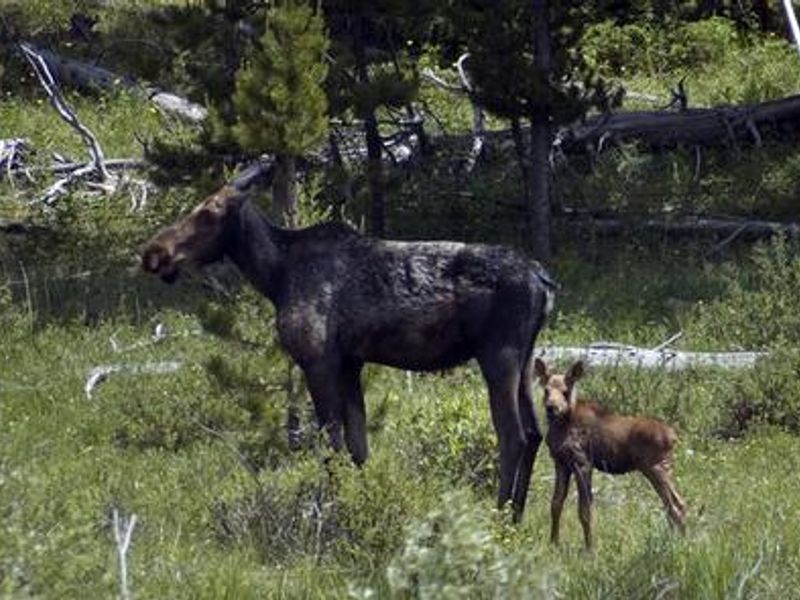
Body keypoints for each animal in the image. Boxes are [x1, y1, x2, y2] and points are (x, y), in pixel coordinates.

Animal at [140, 182, 557, 521]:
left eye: (208, 213)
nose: (154, 252)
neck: (275, 276)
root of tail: (543, 281)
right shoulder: (351, 362)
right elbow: (358, 446)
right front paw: (365, 501)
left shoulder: (318, 359)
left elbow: (331, 445)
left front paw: (332, 510)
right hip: (524, 358)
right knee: (535, 431)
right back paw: (518, 516)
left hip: (498, 354)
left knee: (513, 435)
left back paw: (501, 515)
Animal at [533, 358, 686, 549]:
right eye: (546, 390)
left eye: (565, 392)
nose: (551, 407)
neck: (561, 427)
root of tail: (673, 437)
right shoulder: (561, 463)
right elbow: (555, 504)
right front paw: (553, 543)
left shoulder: (583, 463)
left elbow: (584, 510)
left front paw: (590, 548)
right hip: (660, 467)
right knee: (675, 504)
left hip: (655, 467)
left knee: (676, 505)